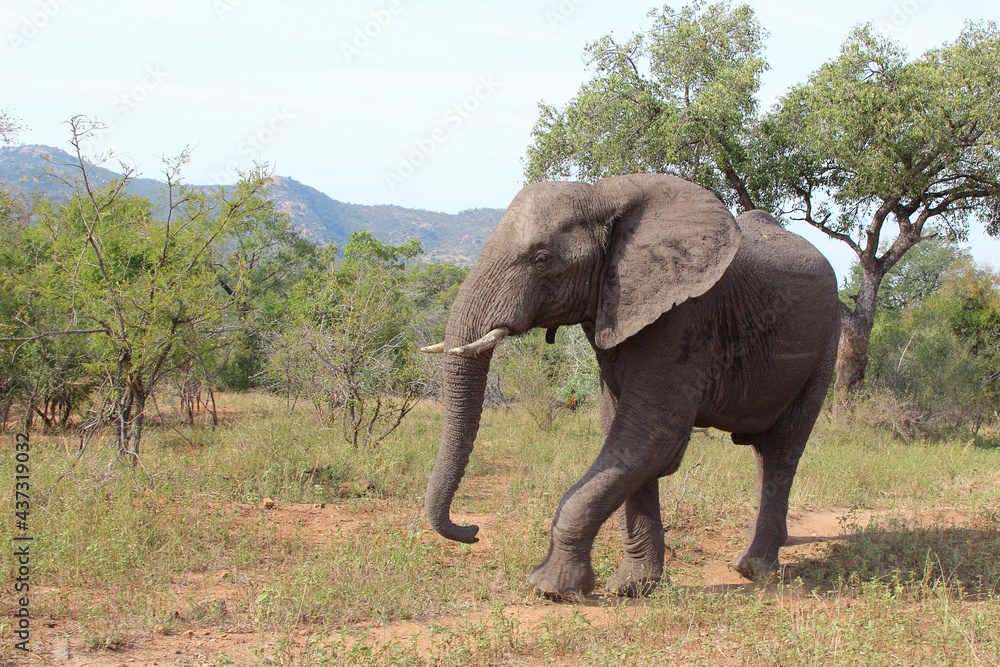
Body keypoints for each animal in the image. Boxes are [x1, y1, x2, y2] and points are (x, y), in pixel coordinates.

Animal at [420, 173, 840, 598]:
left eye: (542, 259)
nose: (472, 530)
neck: (604, 195)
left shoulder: (685, 314)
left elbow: (651, 439)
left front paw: (550, 587)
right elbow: (623, 438)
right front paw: (634, 587)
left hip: (826, 345)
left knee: (784, 448)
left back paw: (755, 570)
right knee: (762, 452)